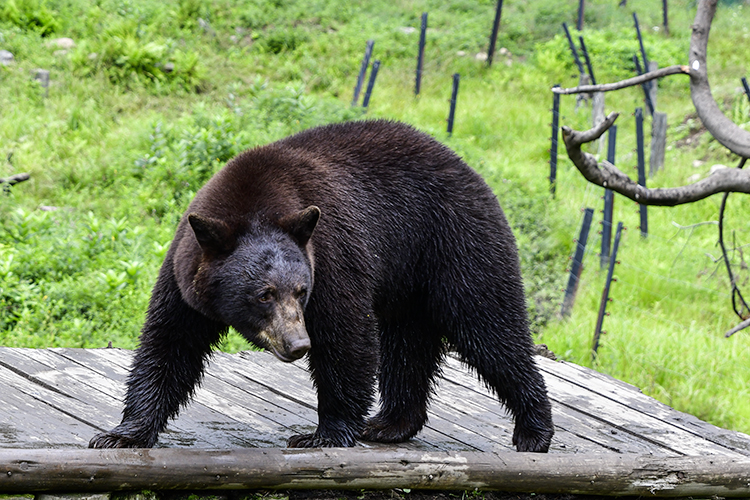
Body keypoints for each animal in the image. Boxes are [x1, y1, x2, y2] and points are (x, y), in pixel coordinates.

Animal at [91, 119, 556, 452]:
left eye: (300, 291)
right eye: (264, 294)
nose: (297, 344)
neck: (255, 198)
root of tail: (472, 171)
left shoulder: (331, 255)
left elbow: (344, 335)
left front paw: (322, 433)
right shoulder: (185, 274)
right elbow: (170, 344)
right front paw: (121, 433)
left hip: (456, 246)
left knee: (489, 328)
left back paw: (534, 429)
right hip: (409, 280)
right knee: (407, 345)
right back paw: (390, 424)